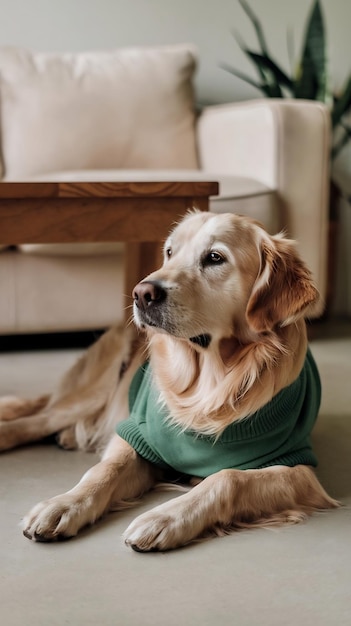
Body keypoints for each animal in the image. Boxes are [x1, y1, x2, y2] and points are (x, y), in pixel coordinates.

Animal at [0, 212, 338, 548]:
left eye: (215, 258)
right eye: (170, 252)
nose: (141, 293)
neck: (207, 387)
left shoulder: (298, 469)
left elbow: (228, 478)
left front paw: (164, 518)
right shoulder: (136, 434)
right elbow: (104, 469)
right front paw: (63, 504)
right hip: (95, 389)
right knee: (39, 419)